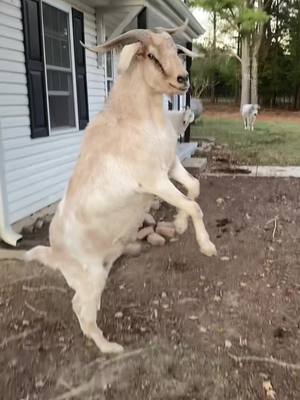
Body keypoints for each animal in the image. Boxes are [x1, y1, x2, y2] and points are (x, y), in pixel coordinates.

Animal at [23, 21, 216, 354]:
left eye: (175, 49)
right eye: (150, 55)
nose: (182, 79)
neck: (134, 120)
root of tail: (55, 252)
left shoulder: (170, 167)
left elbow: (194, 188)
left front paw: (179, 226)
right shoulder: (153, 180)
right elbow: (193, 204)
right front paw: (207, 246)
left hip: (102, 267)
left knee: (80, 306)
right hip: (90, 276)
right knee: (81, 308)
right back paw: (110, 348)